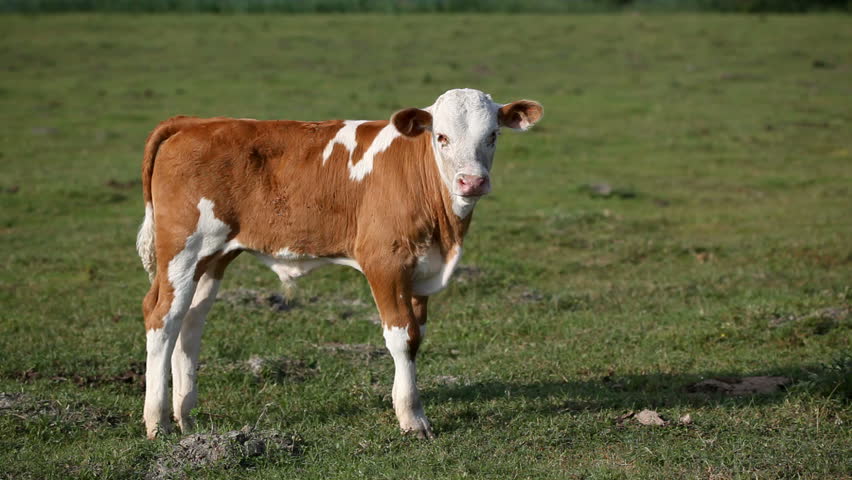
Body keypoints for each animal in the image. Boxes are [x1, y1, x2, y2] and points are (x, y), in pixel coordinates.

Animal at [136, 88, 543, 439]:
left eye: (492, 135)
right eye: (441, 137)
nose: (471, 181)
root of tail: (195, 122)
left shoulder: (422, 270)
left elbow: (418, 335)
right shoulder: (385, 261)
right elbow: (403, 336)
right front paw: (412, 419)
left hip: (213, 256)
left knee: (191, 321)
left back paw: (186, 417)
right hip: (182, 249)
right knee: (163, 317)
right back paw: (158, 422)